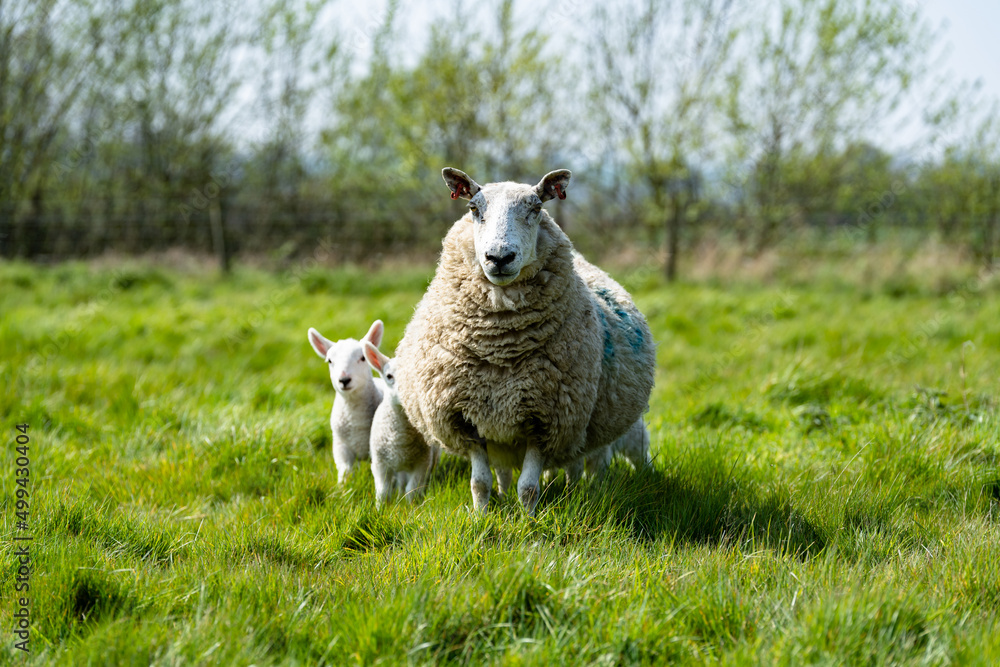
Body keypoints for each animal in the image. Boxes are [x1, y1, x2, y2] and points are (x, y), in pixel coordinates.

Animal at [307, 320, 385, 484]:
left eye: (362, 358)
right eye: (330, 361)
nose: (344, 380)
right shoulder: (341, 448)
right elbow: (345, 472)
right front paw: (343, 489)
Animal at [362, 341, 439, 508]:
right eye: (389, 376)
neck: (399, 439)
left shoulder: (422, 461)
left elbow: (412, 489)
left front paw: (412, 508)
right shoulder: (379, 463)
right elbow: (383, 491)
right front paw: (381, 508)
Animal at [394, 168, 656, 515]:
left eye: (536, 208)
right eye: (474, 209)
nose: (499, 257)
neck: (499, 346)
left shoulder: (547, 421)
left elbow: (529, 488)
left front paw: (530, 521)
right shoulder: (463, 419)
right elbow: (480, 483)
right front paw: (481, 518)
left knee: (583, 464)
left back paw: (578, 491)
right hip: (502, 435)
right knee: (506, 472)